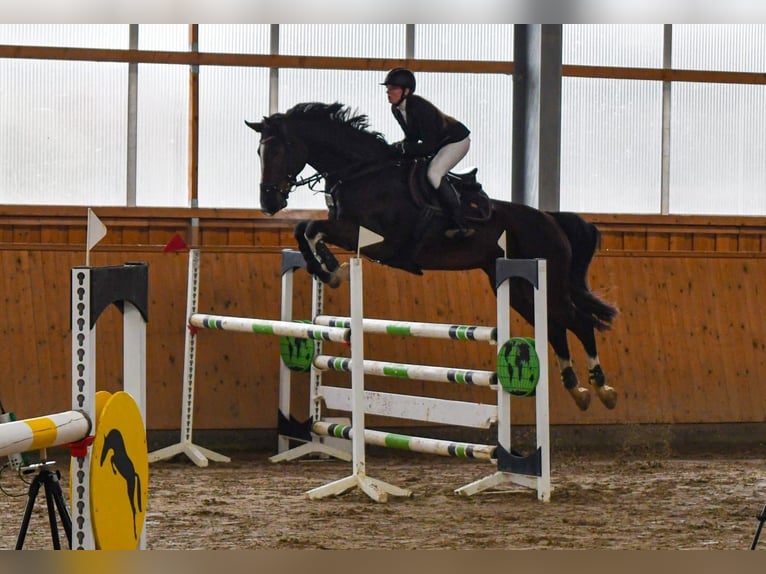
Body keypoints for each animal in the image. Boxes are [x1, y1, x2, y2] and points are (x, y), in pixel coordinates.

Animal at [249, 101, 620, 412]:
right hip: (519, 287)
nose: (268, 203)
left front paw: (330, 272)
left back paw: (602, 389)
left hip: (547, 281)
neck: (361, 172)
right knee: (556, 326)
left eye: (279, 149)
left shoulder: (375, 239)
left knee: (578, 321)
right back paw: (577, 390)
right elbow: (306, 230)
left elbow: (310, 227)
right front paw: (329, 269)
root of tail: (551, 219)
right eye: (259, 151)